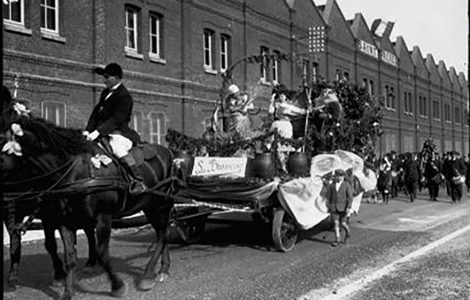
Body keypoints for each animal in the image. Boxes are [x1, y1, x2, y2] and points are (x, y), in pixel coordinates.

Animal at [1, 115, 178, 300]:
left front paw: (117, 286)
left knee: (163, 234)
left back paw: (149, 275)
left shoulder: (102, 217)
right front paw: (67, 291)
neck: (76, 171)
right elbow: (68, 256)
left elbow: (102, 252)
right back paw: (161, 270)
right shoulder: (64, 221)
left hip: (159, 205)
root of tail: (168, 152)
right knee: (163, 233)